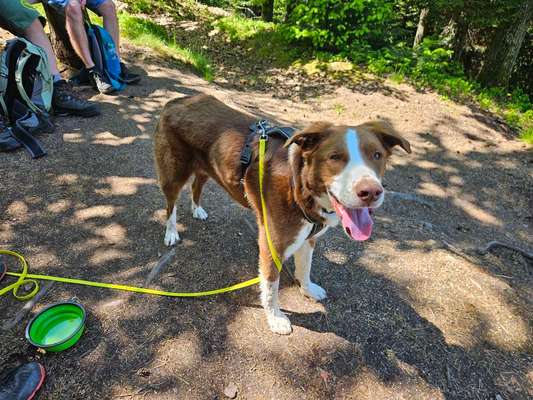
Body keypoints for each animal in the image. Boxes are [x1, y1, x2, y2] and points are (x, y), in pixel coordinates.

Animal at [154, 94, 412, 334]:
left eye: (377, 155)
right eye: (335, 157)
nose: (371, 192)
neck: (299, 185)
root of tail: (176, 101)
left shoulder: (308, 238)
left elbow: (305, 268)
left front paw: (308, 289)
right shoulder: (272, 246)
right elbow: (271, 287)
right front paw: (275, 318)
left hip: (206, 166)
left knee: (197, 185)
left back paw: (197, 209)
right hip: (173, 173)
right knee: (171, 204)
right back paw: (171, 232)